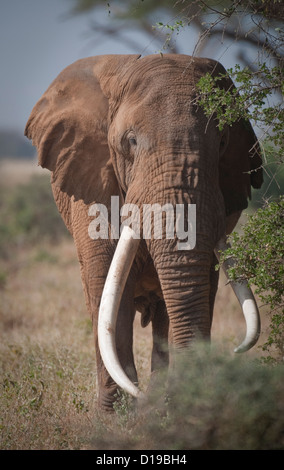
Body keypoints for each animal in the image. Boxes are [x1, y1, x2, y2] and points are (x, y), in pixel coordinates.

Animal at [25, 52, 262, 412]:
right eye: (131, 142)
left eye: (222, 143)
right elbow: (108, 291)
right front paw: (115, 416)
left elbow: (203, 287)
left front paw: (173, 410)